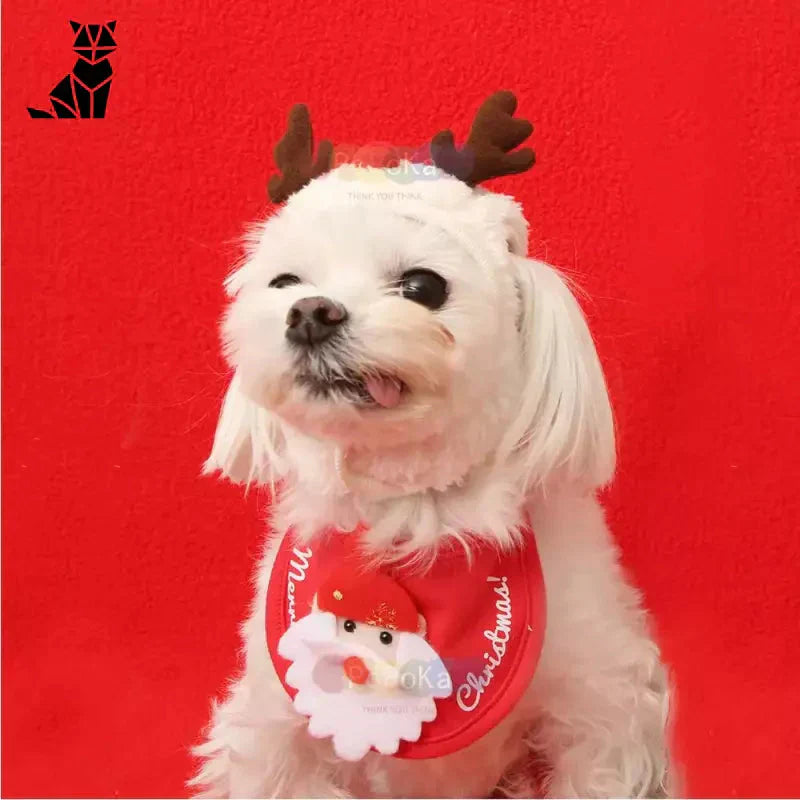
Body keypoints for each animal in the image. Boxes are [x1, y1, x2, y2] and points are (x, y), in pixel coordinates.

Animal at [191, 97, 672, 796]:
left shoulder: (599, 704)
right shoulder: (276, 728)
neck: (411, 514)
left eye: (422, 286)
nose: (309, 313)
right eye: (284, 282)